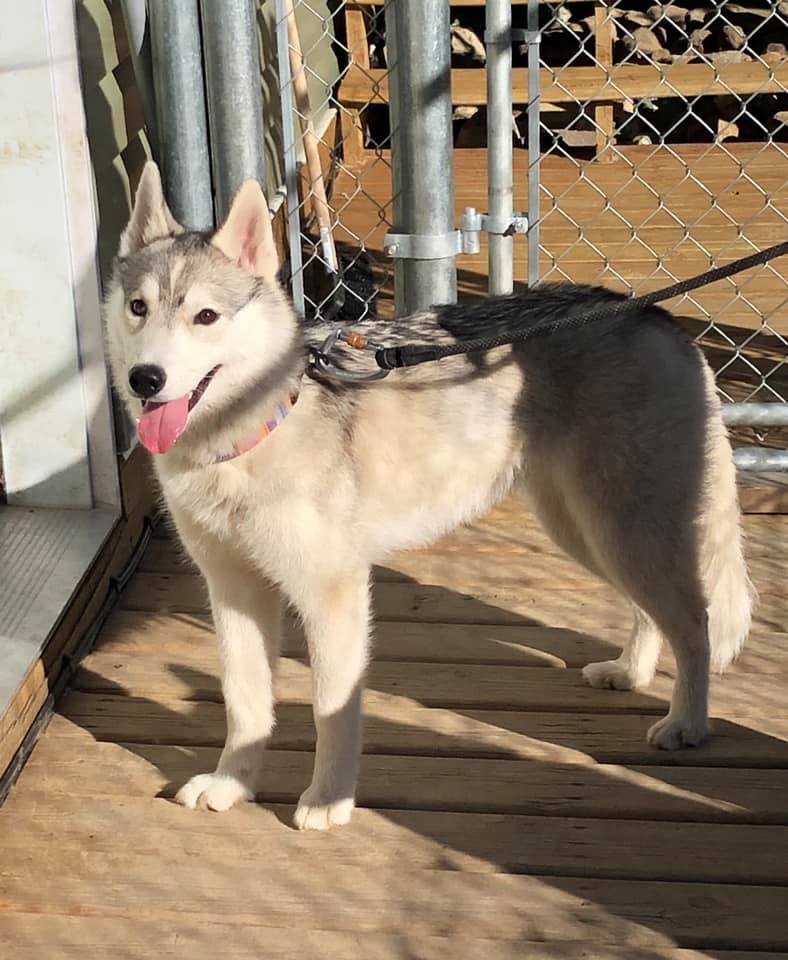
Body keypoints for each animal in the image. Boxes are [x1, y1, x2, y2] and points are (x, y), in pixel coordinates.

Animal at [106, 162, 754, 830]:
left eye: (205, 317)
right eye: (138, 308)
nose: (145, 379)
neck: (255, 430)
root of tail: (651, 314)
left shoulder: (333, 597)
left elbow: (331, 712)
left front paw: (328, 799)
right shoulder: (232, 592)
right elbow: (244, 703)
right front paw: (232, 784)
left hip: (623, 529)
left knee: (696, 623)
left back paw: (687, 723)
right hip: (589, 530)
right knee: (653, 613)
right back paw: (632, 672)